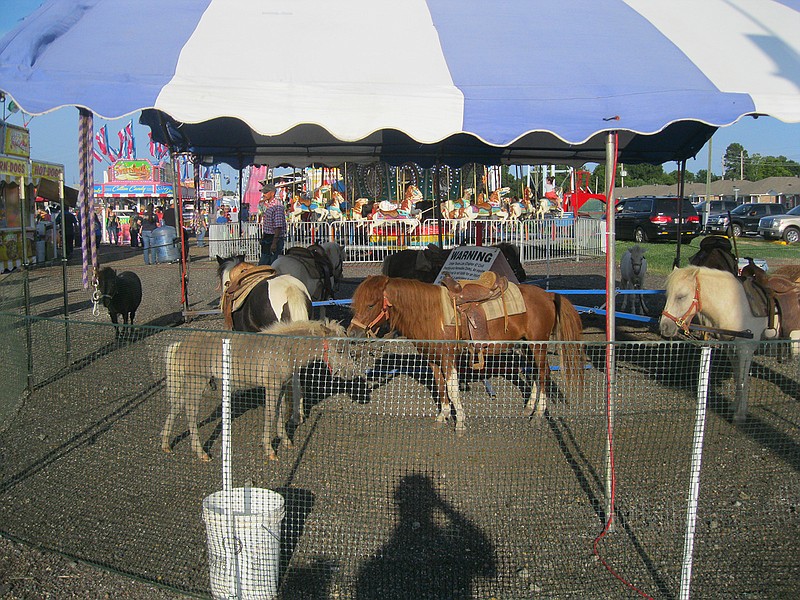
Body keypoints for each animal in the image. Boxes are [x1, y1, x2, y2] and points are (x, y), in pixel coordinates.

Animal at [161, 322, 352, 462]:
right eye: (339, 350)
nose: (349, 373)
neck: (285, 350)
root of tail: (181, 344)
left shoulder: (282, 387)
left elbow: (280, 412)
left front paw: (286, 441)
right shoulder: (272, 387)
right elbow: (270, 414)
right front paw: (270, 451)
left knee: (177, 407)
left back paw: (166, 444)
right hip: (197, 382)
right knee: (190, 411)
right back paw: (201, 452)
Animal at [346, 276, 584, 432]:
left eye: (370, 304)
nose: (352, 334)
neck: (432, 313)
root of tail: (549, 295)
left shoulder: (448, 356)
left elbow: (452, 389)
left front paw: (459, 421)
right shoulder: (433, 358)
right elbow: (440, 386)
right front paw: (442, 416)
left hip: (538, 344)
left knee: (544, 373)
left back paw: (538, 414)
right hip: (526, 345)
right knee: (536, 373)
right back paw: (528, 408)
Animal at [656, 264, 768, 424]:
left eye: (681, 296)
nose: (664, 326)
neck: (737, 304)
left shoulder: (745, 349)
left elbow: (743, 380)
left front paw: (740, 415)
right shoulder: (731, 348)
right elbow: (737, 377)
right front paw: (734, 407)